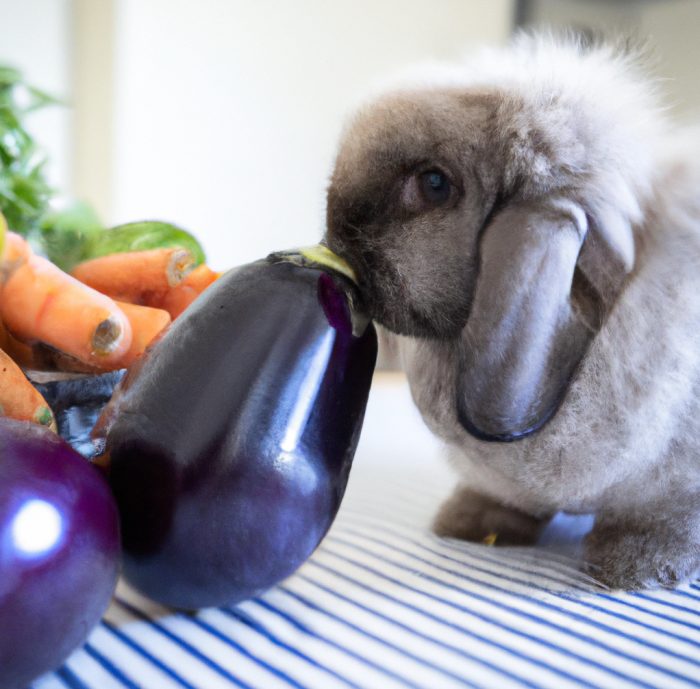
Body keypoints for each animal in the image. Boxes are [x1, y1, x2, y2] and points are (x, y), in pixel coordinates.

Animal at [326, 32, 700, 588]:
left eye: (434, 184)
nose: (335, 244)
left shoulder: (675, 487)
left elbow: (665, 520)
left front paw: (631, 567)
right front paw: (467, 525)